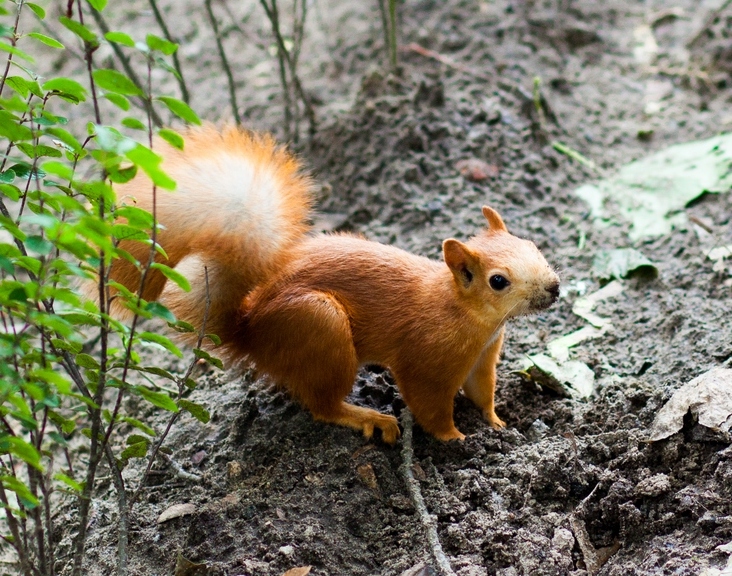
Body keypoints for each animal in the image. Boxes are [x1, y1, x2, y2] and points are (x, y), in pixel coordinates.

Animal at [108, 124, 556, 444]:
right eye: (498, 281)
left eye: (532, 244)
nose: (553, 288)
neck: (468, 314)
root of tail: (250, 331)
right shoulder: (428, 357)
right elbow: (429, 405)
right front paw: (456, 438)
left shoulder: (483, 356)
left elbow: (482, 391)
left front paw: (496, 422)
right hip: (320, 327)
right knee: (322, 406)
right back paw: (369, 417)